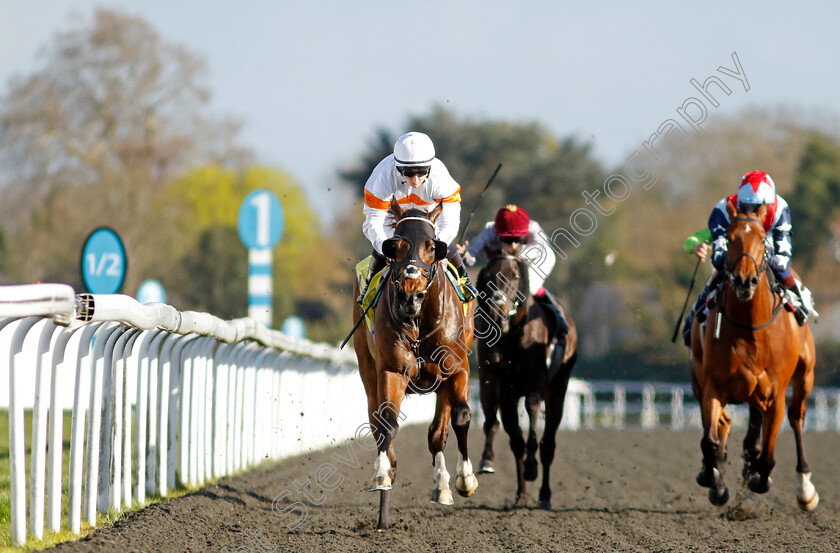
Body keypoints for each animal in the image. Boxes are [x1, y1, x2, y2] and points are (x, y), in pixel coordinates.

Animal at [350, 198, 480, 532]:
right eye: (395, 245)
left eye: (432, 246)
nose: (411, 295)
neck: (420, 323)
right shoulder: (391, 371)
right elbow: (387, 423)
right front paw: (383, 473)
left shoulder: (457, 370)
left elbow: (461, 417)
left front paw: (464, 480)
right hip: (367, 371)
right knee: (377, 424)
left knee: (438, 432)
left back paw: (443, 486)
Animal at [472, 242, 576, 508]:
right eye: (487, 274)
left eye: (515, 275)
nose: (498, 314)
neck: (511, 335)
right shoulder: (492, 380)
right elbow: (491, 421)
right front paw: (487, 460)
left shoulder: (536, 381)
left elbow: (532, 410)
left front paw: (531, 466)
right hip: (510, 398)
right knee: (516, 442)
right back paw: (522, 495)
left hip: (558, 389)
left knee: (548, 444)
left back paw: (544, 495)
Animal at [688, 202, 820, 508]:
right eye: (729, 237)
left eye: (762, 240)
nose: (744, 281)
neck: (750, 329)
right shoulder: (713, 387)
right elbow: (710, 440)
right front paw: (712, 477)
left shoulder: (774, 396)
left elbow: (768, 455)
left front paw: (758, 479)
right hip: (700, 380)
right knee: (726, 427)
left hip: (804, 375)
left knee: (796, 417)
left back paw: (804, 489)